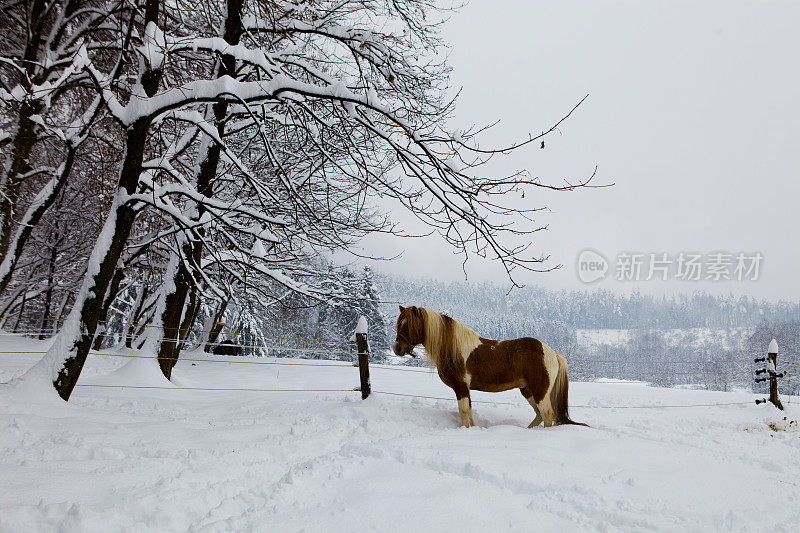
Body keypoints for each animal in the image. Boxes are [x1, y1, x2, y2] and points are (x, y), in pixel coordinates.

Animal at [394, 306, 588, 426]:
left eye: (409, 325)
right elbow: (468, 412)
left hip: (540, 392)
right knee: (540, 415)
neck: (453, 347)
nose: (397, 349)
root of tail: (553, 353)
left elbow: (464, 412)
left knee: (547, 415)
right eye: (399, 323)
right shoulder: (464, 388)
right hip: (528, 391)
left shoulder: (461, 387)